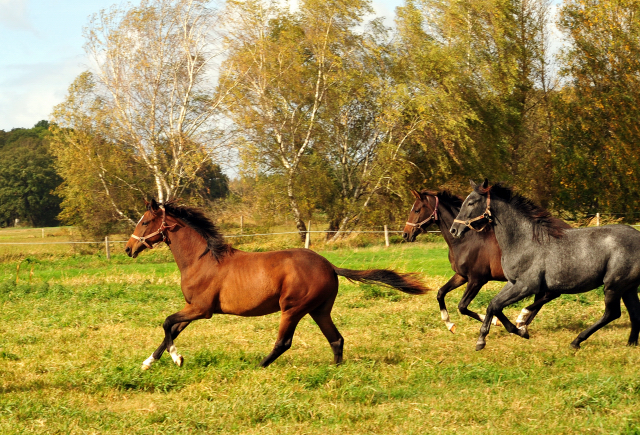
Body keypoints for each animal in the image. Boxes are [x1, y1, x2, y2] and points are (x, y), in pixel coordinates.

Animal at [125, 199, 430, 370]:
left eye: (145, 221)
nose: (128, 249)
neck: (203, 259)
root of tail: (329, 266)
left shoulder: (202, 309)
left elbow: (167, 323)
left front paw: (177, 359)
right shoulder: (192, 308)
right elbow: (171, 330)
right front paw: (148, 363)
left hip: (292, 309)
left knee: (284, 342)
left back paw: (257, 366)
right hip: (319, 310)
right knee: (336, 339)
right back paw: (335, 370)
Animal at [402, 190, 572, 334]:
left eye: (416, 210)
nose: (405, 234)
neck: (465, 241)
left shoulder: (477, 280)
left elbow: (462, 306)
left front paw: (495, 321)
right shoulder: (462, 276)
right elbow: (440, 293)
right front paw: (450, 325)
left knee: (550, 294)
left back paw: (521, 320)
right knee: (544, 296)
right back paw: (523, 323)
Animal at [450, 179, 640, 352]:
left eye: (471, 202)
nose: (454, 230)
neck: (524, 241)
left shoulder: (527, 286)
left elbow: (495, 305)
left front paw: (483, 340)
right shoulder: (513, 283)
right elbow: (494, 304)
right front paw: (519, 331)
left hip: (613, 286)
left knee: (612, 313)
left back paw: (576, 341)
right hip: (627, 288)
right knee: (633, 313)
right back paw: (631, 344)